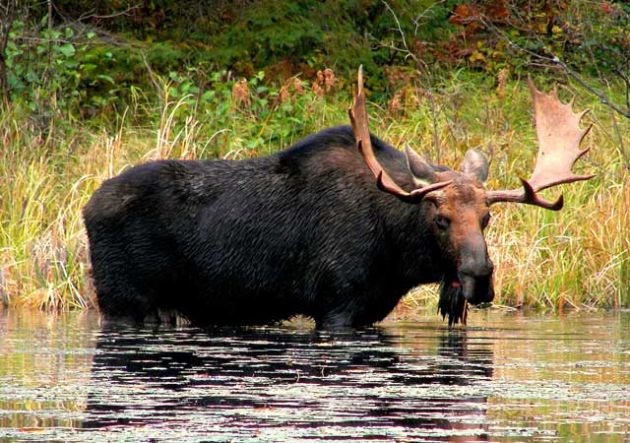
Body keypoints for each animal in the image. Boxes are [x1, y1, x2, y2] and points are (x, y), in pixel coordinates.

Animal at [85, 67, 596, 328]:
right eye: (440, 219)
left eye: (487, 218)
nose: (479, 276)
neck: (399, 257)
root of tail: (86, 207)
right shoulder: (337, 304)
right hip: (121, 299)